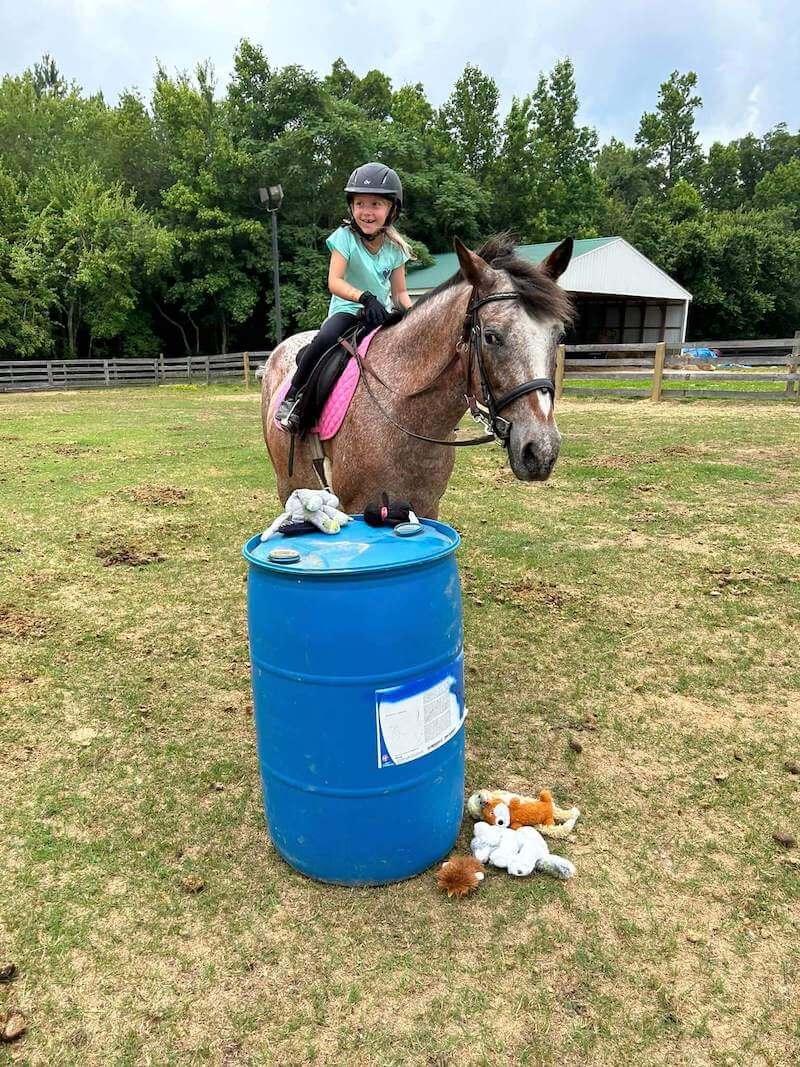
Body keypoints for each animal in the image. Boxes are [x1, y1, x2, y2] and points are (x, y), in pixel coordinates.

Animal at [264, 234, 576, 516]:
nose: (541, 450)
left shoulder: (426, 506)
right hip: (289, 486)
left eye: (559, 335)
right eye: (491, 337)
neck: (401, 409)